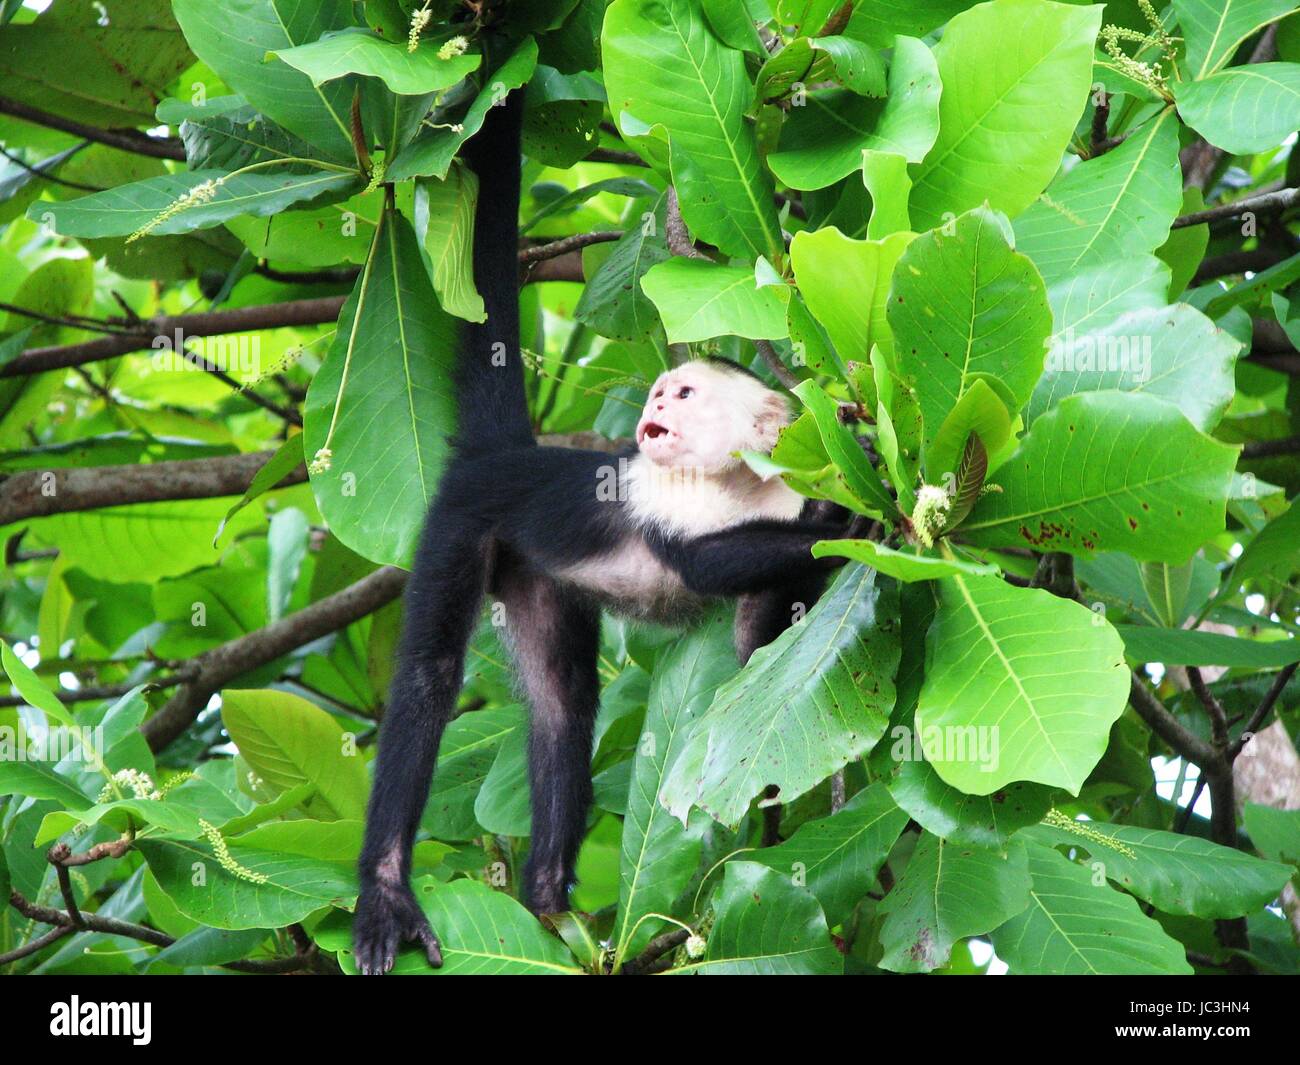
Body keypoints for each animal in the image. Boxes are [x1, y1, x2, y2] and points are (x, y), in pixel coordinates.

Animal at [356, 77, 863, 972]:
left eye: (685, 393)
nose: (656, 403)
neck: (741, 484)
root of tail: (510, 456)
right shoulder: (665, 490)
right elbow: (697, 563)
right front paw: (853, 518)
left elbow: (753, 649)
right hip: (461, 521)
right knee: (428, 679)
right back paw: (388, 885)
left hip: (533, 575)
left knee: (564, 706)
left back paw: (546, 900)